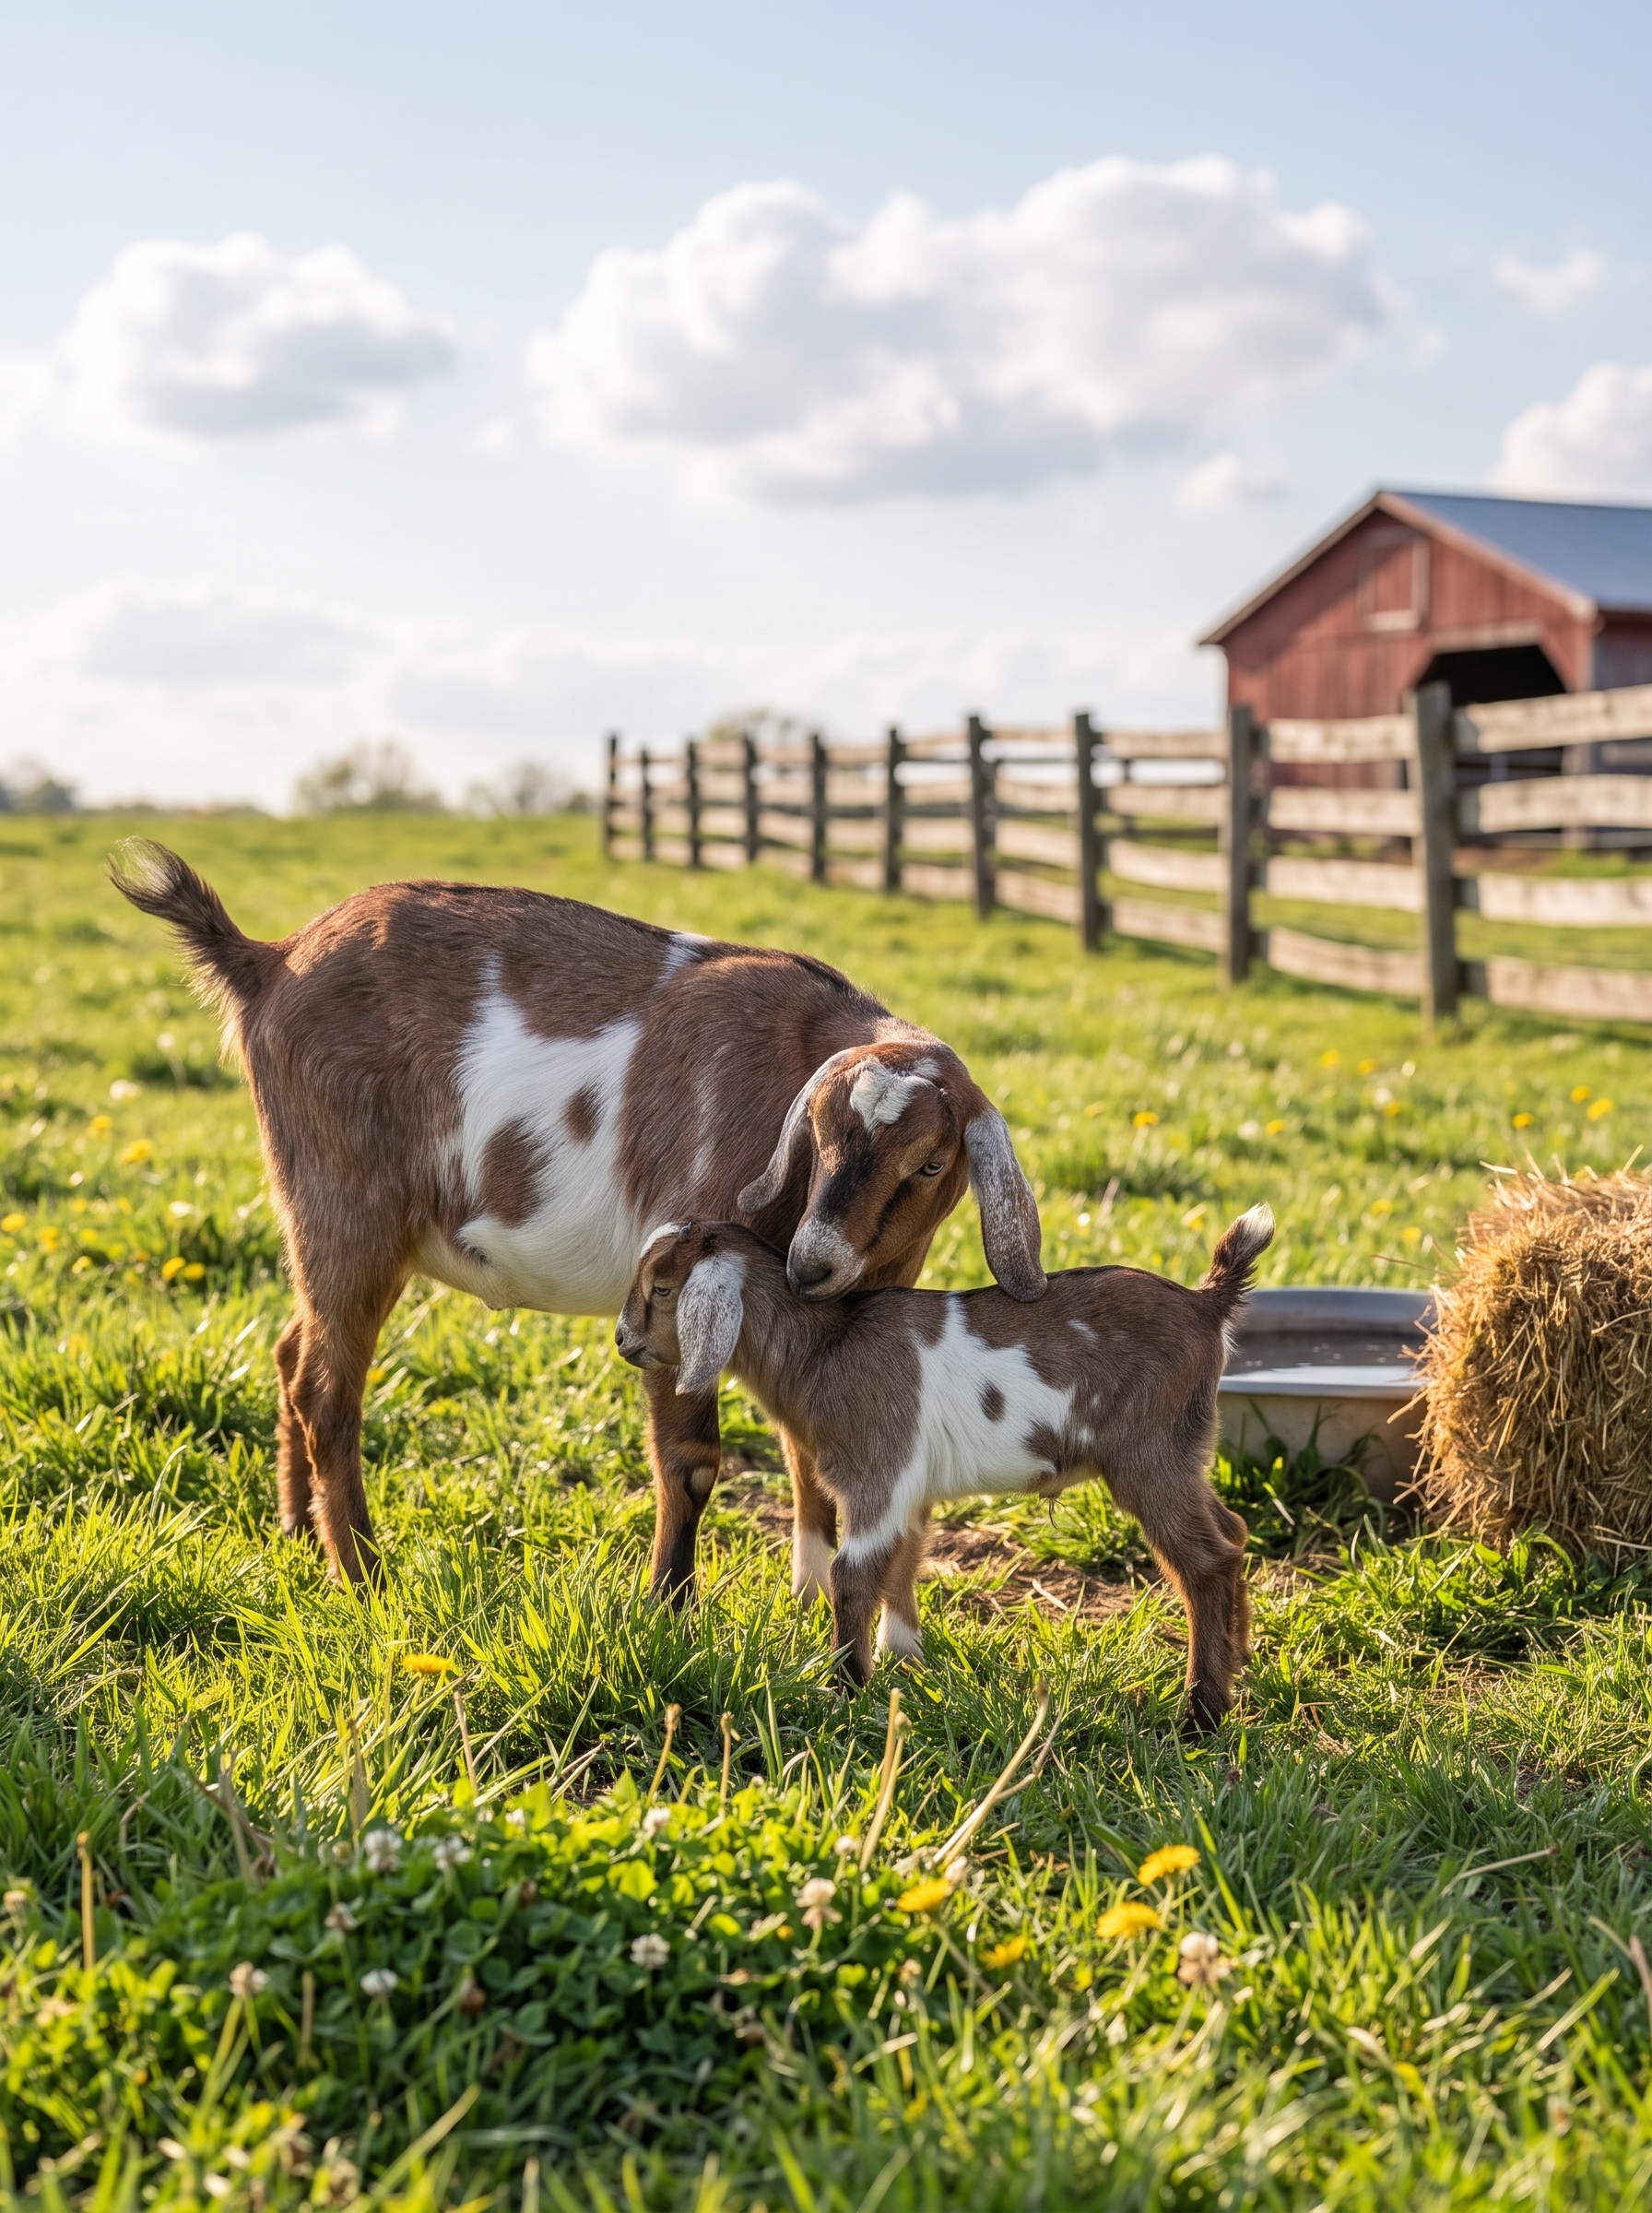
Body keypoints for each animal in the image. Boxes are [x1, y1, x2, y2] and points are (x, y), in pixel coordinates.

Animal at [109, 841, 1044, 1594]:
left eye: (930, 1164)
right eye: (813, 1133)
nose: (814, 1263)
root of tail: (269, 960)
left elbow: (812, 1450)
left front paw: (809, 1609)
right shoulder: (678, 1277)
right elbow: (693, 1461)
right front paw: (669, 1609)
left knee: (290, 1349)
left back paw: (301, 1536)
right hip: (343, 1202)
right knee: (325, 1388)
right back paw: (365, 1576)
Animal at [616, 1205, 1275, 1729]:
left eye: (663, 1289)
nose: (623, 1342)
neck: (825, 1345)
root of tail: (1206, 1303)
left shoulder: (877, 1470)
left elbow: (854, 1574)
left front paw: (843, 1688)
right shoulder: (908, 1485)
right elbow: (903, 1564)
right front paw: (906, 1664)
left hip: (1148, 1453)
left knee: (1205, 1561)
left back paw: (1201, 1713)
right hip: (1185, 1449)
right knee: (1233, 1532)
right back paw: (1239, 1661)